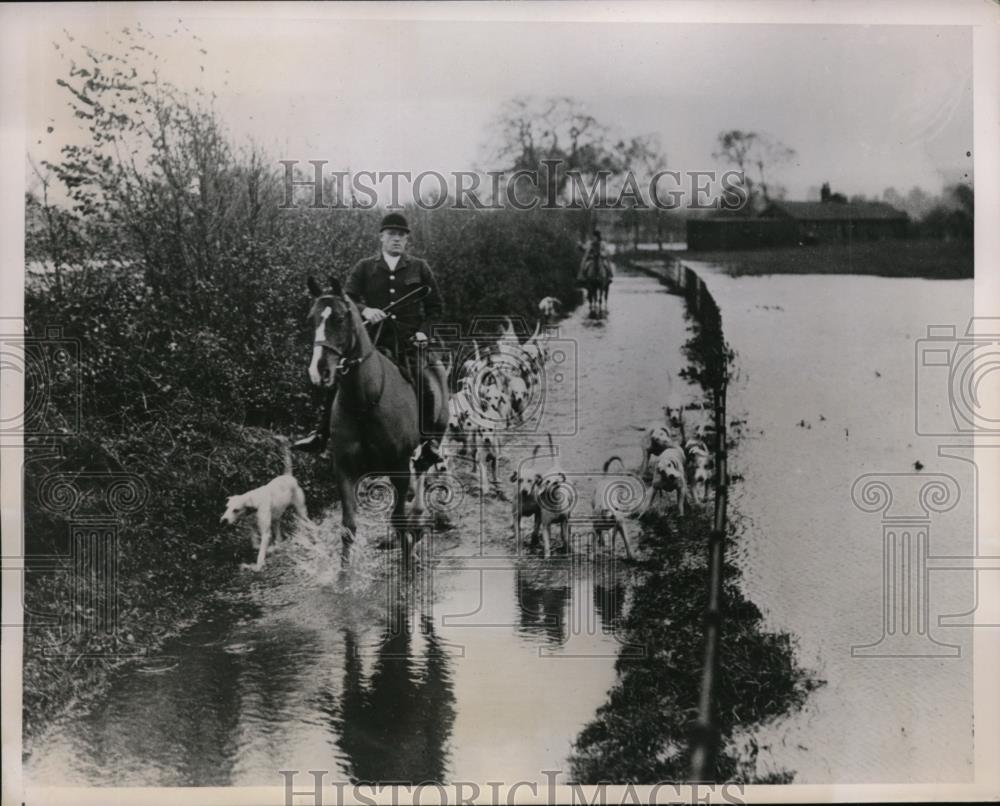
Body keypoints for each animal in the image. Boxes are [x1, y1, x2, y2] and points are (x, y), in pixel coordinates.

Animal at [302, 274, 448, 564]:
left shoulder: (400, 468)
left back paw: (418, 523)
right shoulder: (344, 470)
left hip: (429, 442)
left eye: (340, 318)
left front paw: (408, 558)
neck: (364, 402)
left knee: (423, 470)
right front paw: (344, 572)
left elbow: (398, 518)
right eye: (312, 320)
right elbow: (348, 528)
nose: (319, 372)